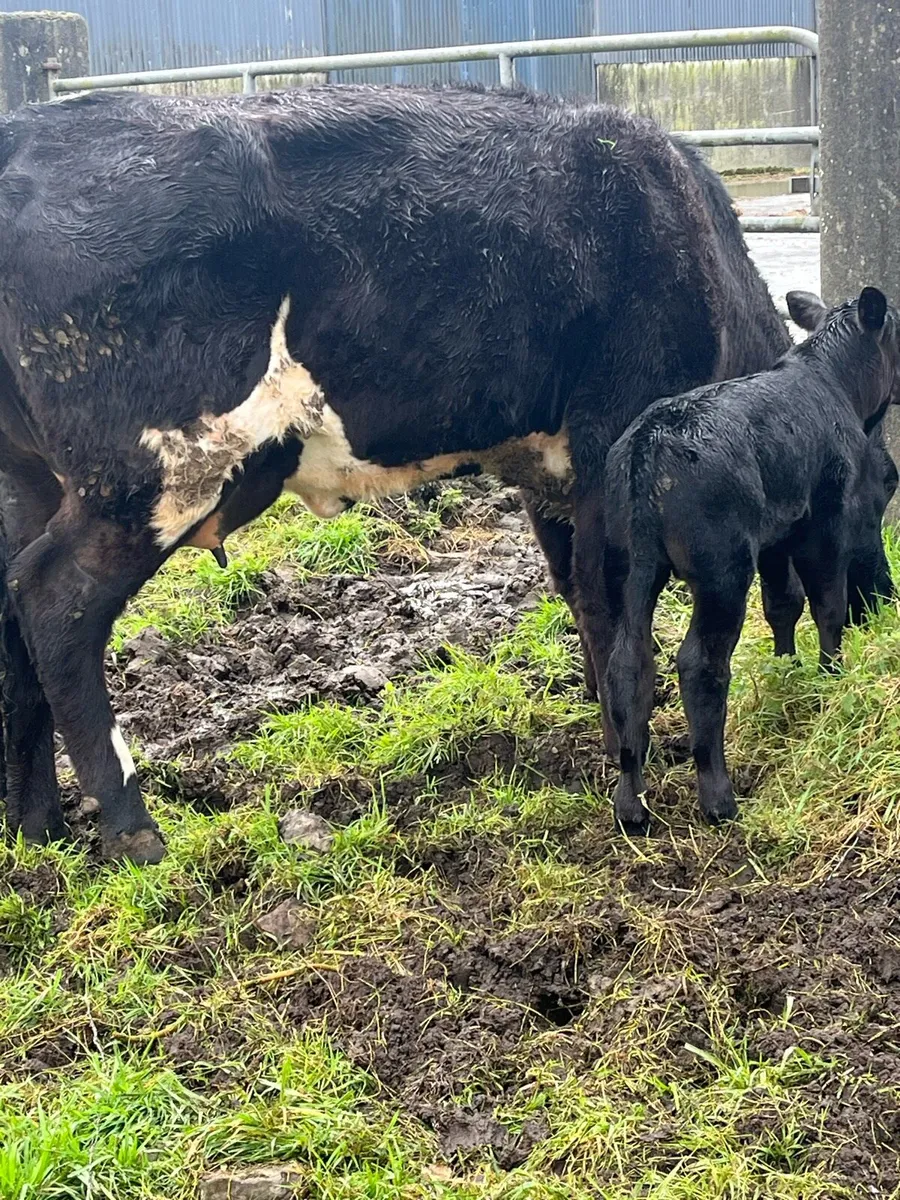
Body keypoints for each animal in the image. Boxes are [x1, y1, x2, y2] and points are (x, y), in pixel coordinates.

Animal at [603, 286, 900, 834]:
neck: (834, 383)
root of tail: (648, 444)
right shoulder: (822, 523)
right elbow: (828, 605)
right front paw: (830, 676)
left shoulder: (777, 536)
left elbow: (784, 604)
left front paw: (788, 672)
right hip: (721, 569)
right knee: (700, 662)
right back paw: (718, 798)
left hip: (626, 565)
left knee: (630, 664)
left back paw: (631, 805)